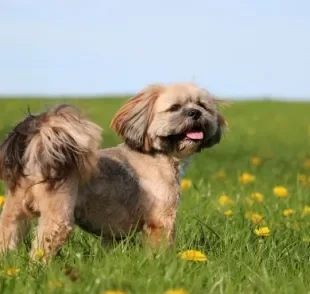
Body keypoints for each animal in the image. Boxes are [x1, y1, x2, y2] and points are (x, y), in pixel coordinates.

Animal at [0, 82, 226, 260]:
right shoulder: (161, 220)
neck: (156, 155)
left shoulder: (112, 232)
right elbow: (160, 249)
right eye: (175, 108)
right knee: (40, 252)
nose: (195, 113)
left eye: (202, 106)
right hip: (57, 218)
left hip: (13, 214)